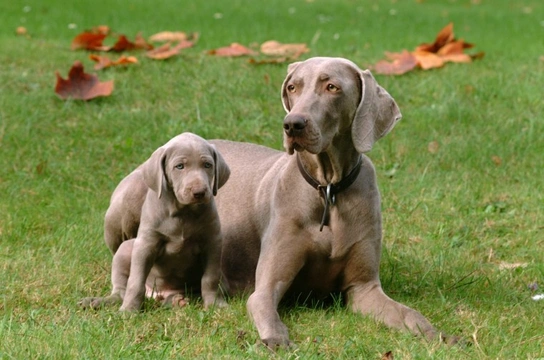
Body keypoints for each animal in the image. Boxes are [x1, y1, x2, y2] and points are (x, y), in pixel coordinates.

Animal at [78, 132, 230, 310]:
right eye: (180, 166)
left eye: (207, 165)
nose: (199, 192)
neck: (182, 212)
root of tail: (155, 294)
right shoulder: (146, 244)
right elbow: (135, 282)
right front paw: (129, 310)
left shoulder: (212, 243)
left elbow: (210, 278)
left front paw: (215, 304)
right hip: (125, 248)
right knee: (120, 291)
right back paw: (96, 301)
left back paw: (177, 300)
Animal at [212, 56, 454, 346]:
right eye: (292, 87)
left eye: (332, 87)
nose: (292, 124)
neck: (328, 187)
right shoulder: (267, 286)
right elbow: (266, 309)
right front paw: (276, 340)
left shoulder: (364, 288)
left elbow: (409, 313)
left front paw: (437, 335)